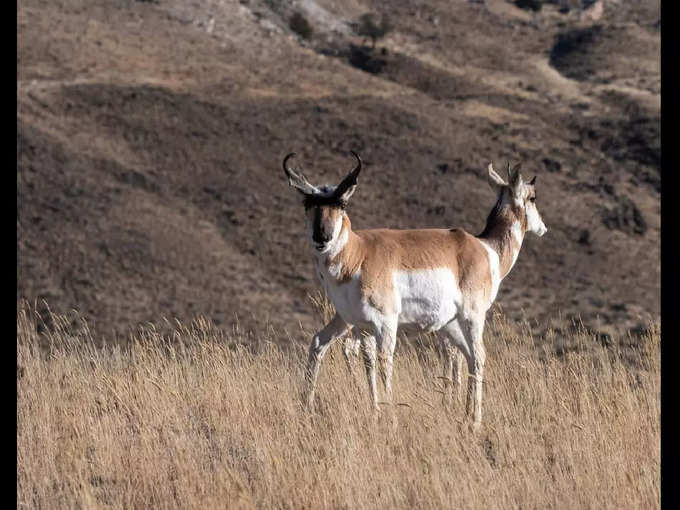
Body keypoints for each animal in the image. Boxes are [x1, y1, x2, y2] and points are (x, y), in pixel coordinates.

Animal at [282, 152, 548, 426]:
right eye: (307, 204)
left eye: (341, 204)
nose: (321, 237)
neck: (359, 252)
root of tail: (478, 246)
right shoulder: (367, 324)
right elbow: (372, 360)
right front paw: (378, 412)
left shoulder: (384, 324)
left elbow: (385, 362)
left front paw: (386, 414)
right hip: (453, 322)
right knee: (473, 357)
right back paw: (469, 418)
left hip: (464, 320)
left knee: (476, 357)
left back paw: (473, 420)